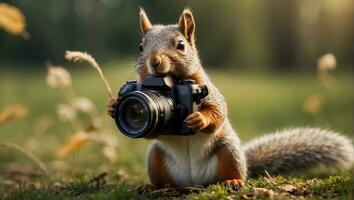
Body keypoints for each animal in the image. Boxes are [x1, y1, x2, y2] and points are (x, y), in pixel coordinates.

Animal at [106, 7, 352, 189]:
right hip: (156, 157)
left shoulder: (208, 92)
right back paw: (153, 186)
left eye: (181, 45)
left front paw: (199, 119)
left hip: (228, 151)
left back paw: (233, 180)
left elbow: (217, 112)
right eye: (140, 47)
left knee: (232, 172)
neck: (169, 85)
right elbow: (150, 131)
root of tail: (194, 181)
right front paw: (112, 106)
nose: (154, 61)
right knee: (164, 176)